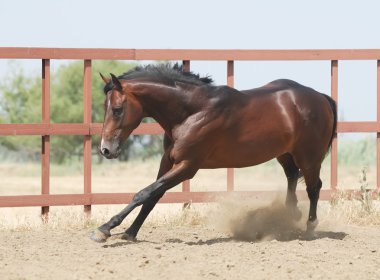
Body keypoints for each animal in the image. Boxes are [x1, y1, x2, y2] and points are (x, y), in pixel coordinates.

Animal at [90, 63, 336, 243]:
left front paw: (104, 229)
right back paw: (291, 214)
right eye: (105, 108)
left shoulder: (188, 166)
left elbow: (143, 193)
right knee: (292, 176)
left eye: (117, 110)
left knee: (314, 187)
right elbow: (153, 195)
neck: (192, 112)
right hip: (284, 154)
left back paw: (310, 228)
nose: (105, 149)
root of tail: (320, 97)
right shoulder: (168, 161)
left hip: (309, 157)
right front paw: (130, 233)